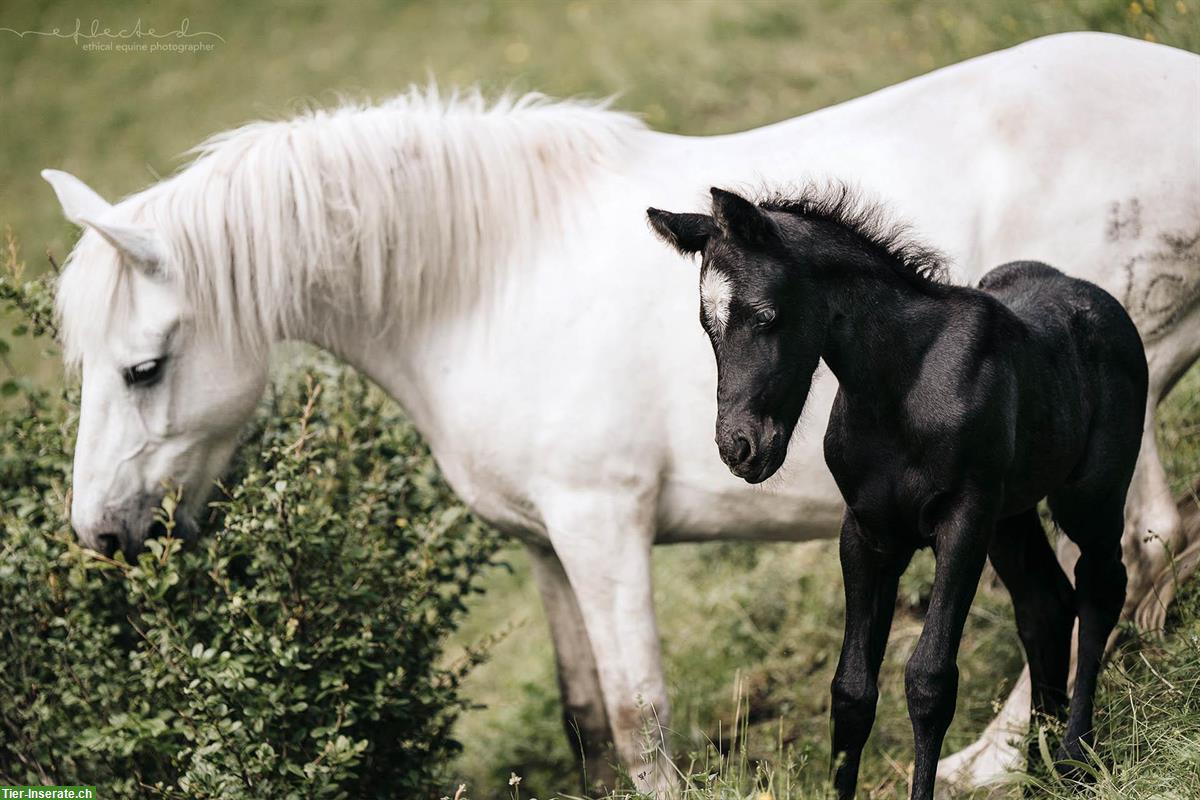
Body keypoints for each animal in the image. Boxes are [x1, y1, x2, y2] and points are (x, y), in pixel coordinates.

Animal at [652, 184, 1147, 796]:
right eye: (708, 325)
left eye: (767, 315)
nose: (739, 448)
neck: (899, 386)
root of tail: (1100, 301)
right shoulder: (868, 534)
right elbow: (851, 692)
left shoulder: (963, 520)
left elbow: (929, 681)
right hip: (1011, 516)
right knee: (1045, 606)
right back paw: (1037, 772)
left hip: (1088, 495)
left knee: (1101, 587)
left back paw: (1077, 757)